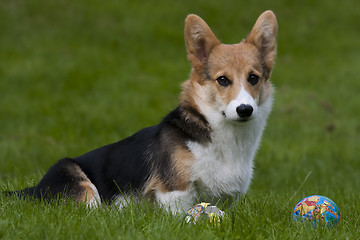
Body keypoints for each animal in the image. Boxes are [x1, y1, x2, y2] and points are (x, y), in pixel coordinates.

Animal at [7, 10, 278, 213]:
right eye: (223, 80)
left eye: (253, 78)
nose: (245, 110)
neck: (223, 136)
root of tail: (32, 190)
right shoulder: (175, 193)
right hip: (77, 180)